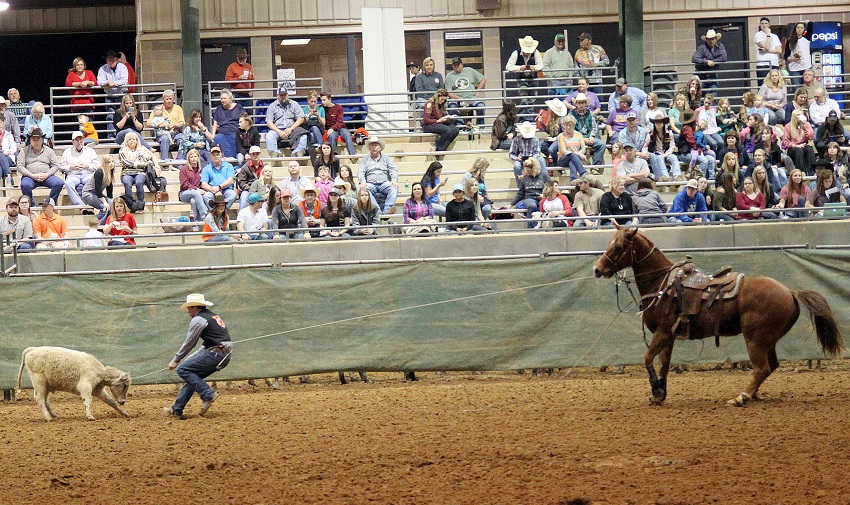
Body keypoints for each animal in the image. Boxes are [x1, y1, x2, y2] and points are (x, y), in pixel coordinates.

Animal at [588, 224, 840, 406]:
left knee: (762, 368)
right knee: (771, 366)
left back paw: (742, 397)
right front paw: (660, 393)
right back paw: (752, 394)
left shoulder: (662, 332)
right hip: (768, 340)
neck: (662, 284)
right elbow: (663, 364)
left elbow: (648, 359)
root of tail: (790, 291)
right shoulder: (668, 336)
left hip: (755, 338)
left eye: (618, 247)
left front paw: (656, 389)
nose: (597, 269)